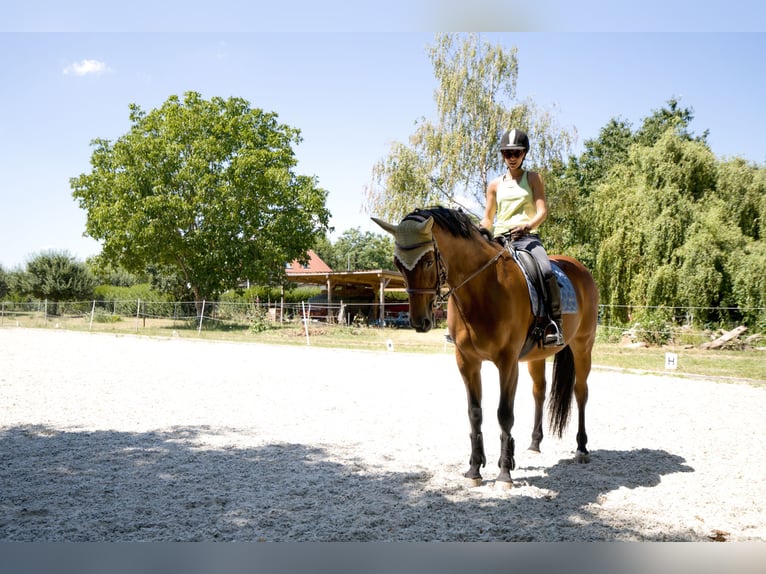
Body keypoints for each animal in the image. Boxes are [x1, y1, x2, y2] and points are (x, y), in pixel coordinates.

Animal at [372, 208, 600, 490]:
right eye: (397, 264)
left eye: (426, 262)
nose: (419, 321)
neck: (481, 288)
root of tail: (578, 267)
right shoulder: (467, 361)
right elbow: (475, 413)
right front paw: (474, 470)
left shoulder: (508, 362)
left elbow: (504, 414)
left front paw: (504, 473)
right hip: (536, 356)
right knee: (539, 391)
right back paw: (534, 443)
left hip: (583, 346)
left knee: (581, 392)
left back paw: (581, 448)